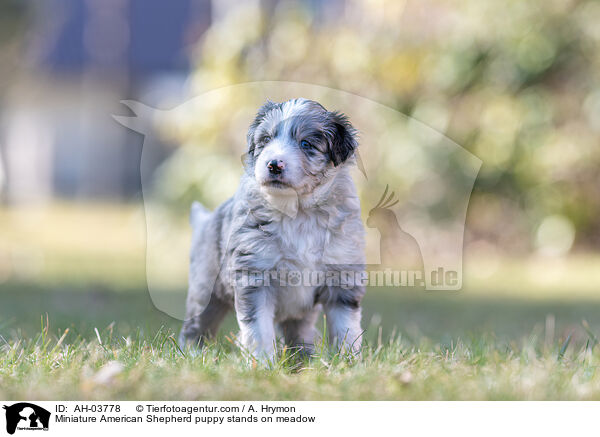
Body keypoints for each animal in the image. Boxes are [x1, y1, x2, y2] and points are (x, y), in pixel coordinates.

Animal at [178, 99, 366, 362]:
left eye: (306, 144)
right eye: (266, 140)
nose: (274, 164)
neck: (299, 213)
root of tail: (204, 220)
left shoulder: (342, 276)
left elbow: (345, 328)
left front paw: (347, 363)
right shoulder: (254, 275)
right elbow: (258, 329)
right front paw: (262, 364)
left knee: (300, 330)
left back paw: (304, 360)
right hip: (205, 289)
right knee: (196, 326)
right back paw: (191, 355)